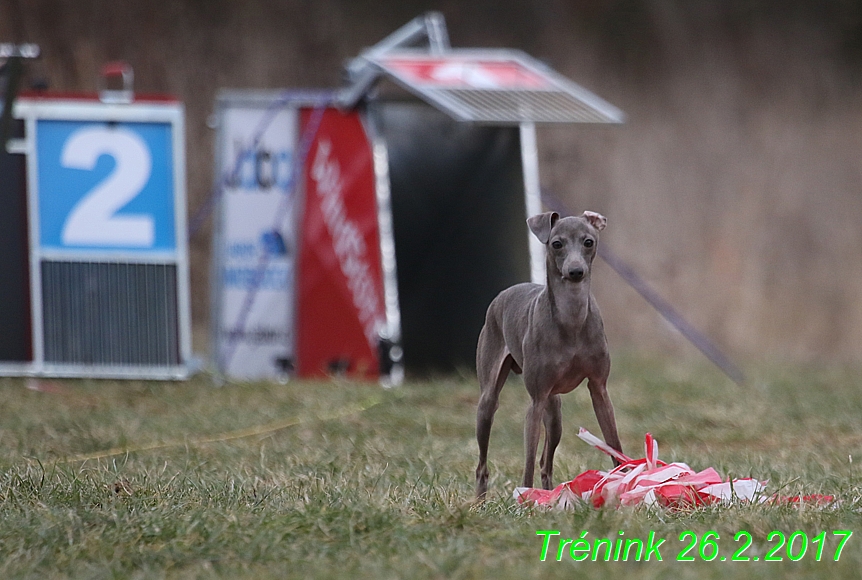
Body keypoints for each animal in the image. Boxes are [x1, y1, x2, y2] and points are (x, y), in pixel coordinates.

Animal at [476, 211, 624, 496]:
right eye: (556, 244)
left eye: (588, 242)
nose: (576, 271)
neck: (572, 320)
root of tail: (505, 292)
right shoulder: (535, 401)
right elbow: (528, 461)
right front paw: (525, 497)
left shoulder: (599, 389)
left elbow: (614, 444)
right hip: (489, 402)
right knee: (483, 464)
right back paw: (480, 500)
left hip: (554, 414)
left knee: (546, 462)